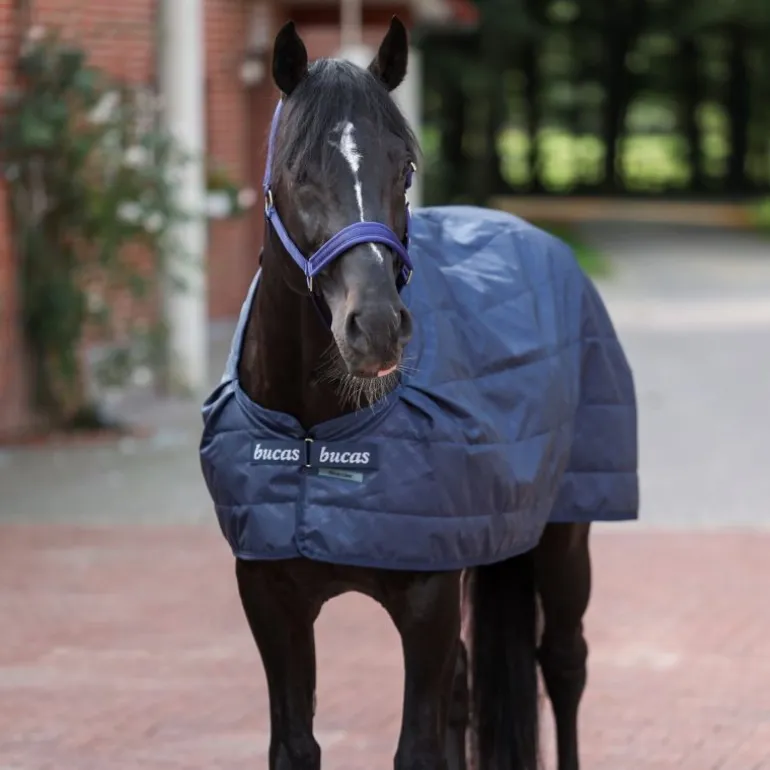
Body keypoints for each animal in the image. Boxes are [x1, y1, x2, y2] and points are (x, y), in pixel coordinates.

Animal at [199, 17, 638, 770]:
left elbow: (419, 748)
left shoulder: (427, 602)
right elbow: (296, 745)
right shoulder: (270, 601)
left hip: (564, 537)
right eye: (296, 171)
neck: (315, 442)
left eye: (404, 168)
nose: (375, 326)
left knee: (564, 665)